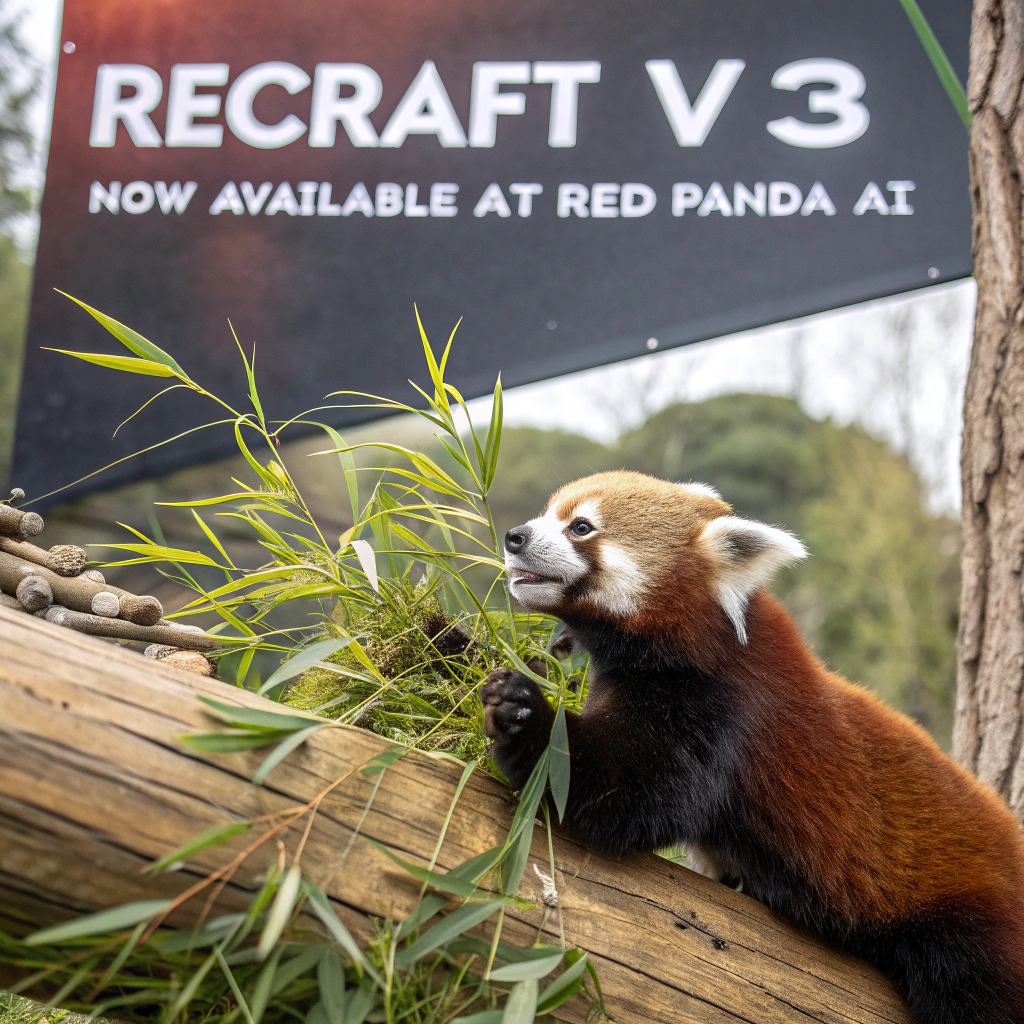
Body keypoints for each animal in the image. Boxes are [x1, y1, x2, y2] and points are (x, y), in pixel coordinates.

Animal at [481, 470, 1024, 1024]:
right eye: (549, 513)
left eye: (581, 527)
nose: (516, 536)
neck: (697, 639)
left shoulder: (722, 712)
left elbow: (629, 792)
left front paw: (525, 716)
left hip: (973, 927)